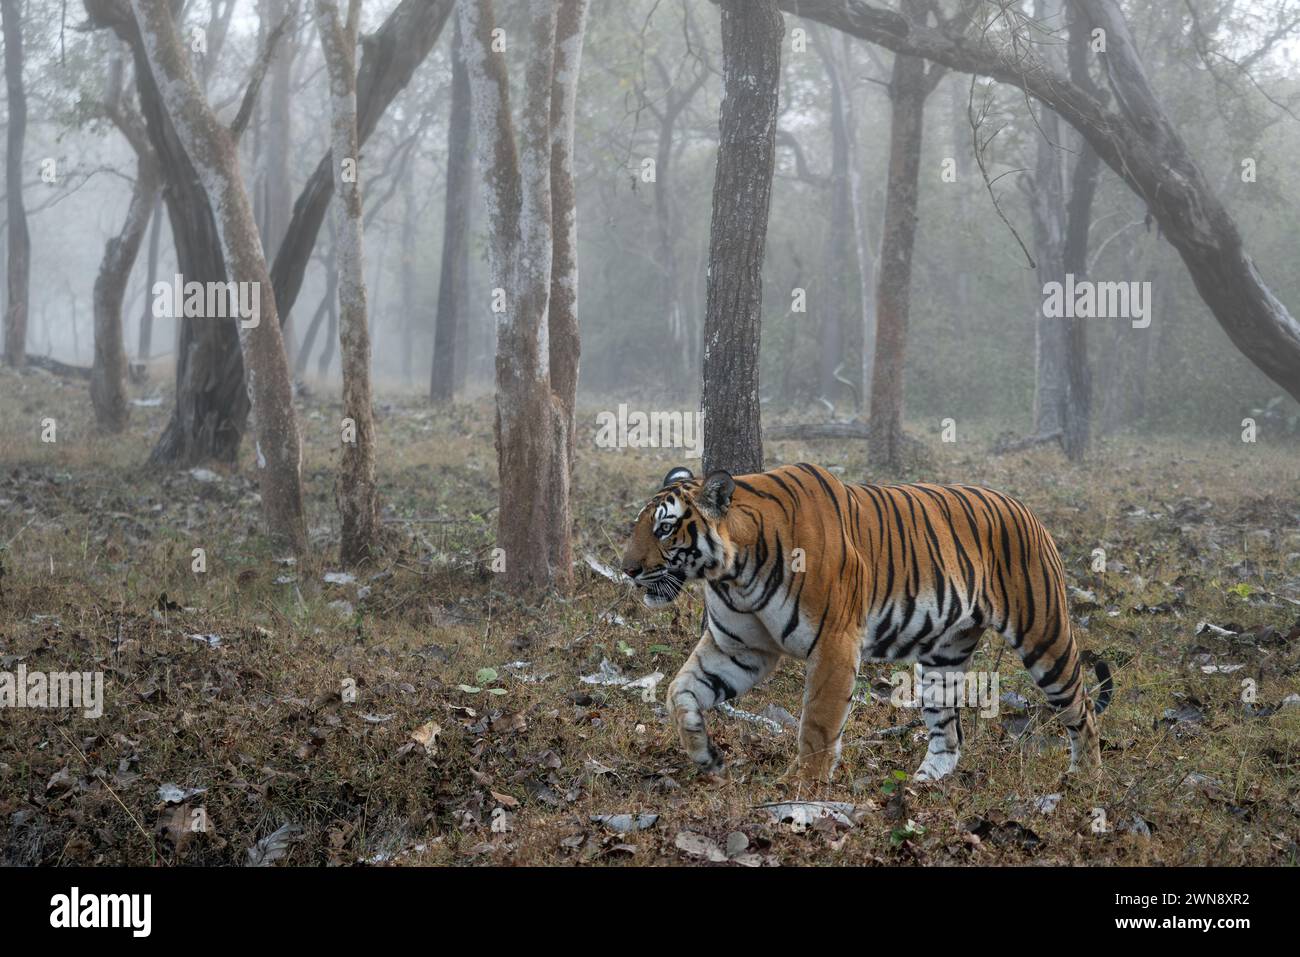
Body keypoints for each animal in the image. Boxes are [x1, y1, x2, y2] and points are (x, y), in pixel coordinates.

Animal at [624, 462, 1112, 785]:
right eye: (638, 526)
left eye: (665, 529)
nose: (627, 569)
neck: (732, 574)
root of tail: (1025, 508)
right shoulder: (739, 650)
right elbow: (679, 691)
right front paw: (705, 755)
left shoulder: (834, 645)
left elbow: (817, 724)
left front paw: (801, 789)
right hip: (943, 657)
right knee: (949, 733)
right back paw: (921, 784)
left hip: (1044, 635)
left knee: (1082, 708)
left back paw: (1085, 780)